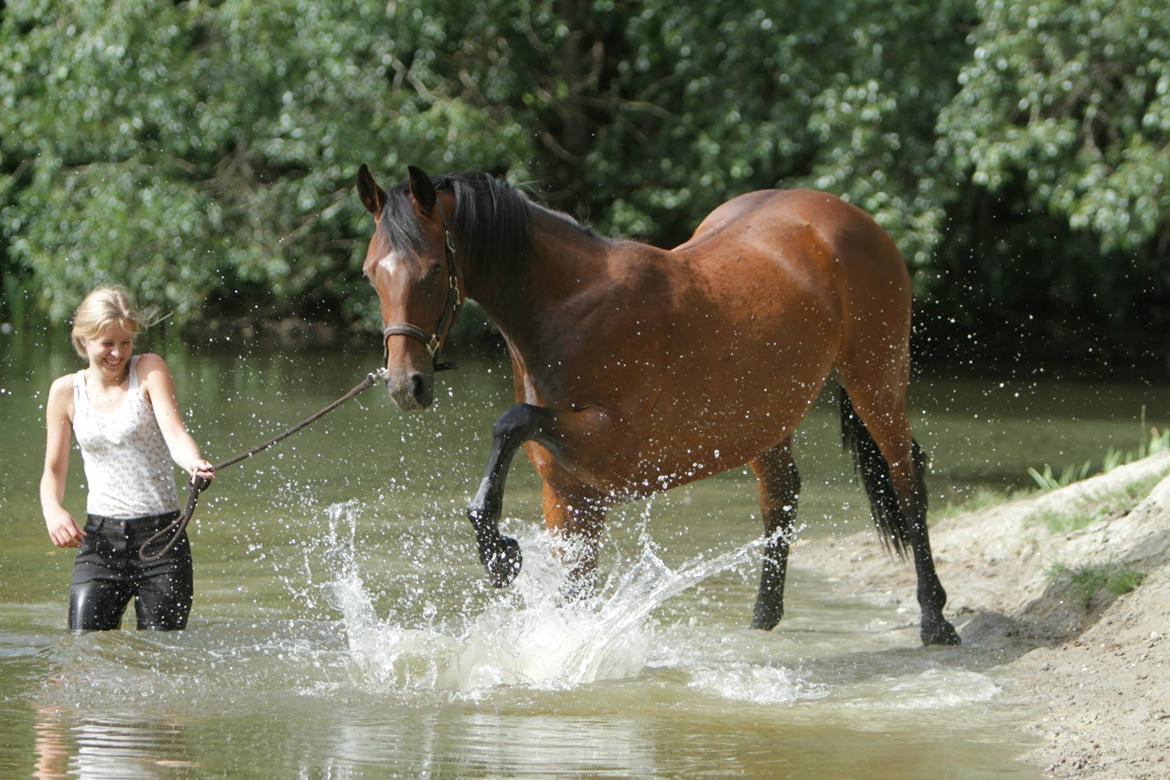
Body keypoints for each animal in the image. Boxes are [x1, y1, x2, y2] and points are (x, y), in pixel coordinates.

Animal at [353, 163, 959, 645]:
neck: (570, 307)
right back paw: (762, 619)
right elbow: (572, 588)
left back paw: (935, 620)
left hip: (876, 381)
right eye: (370, 273)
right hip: (764, 418)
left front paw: (501, 555)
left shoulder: (614, 452)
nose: (406, 384)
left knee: (907, 481)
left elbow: (511, 422)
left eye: (433, 270)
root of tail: (848, 216)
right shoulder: (569, 496)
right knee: (781, 497)